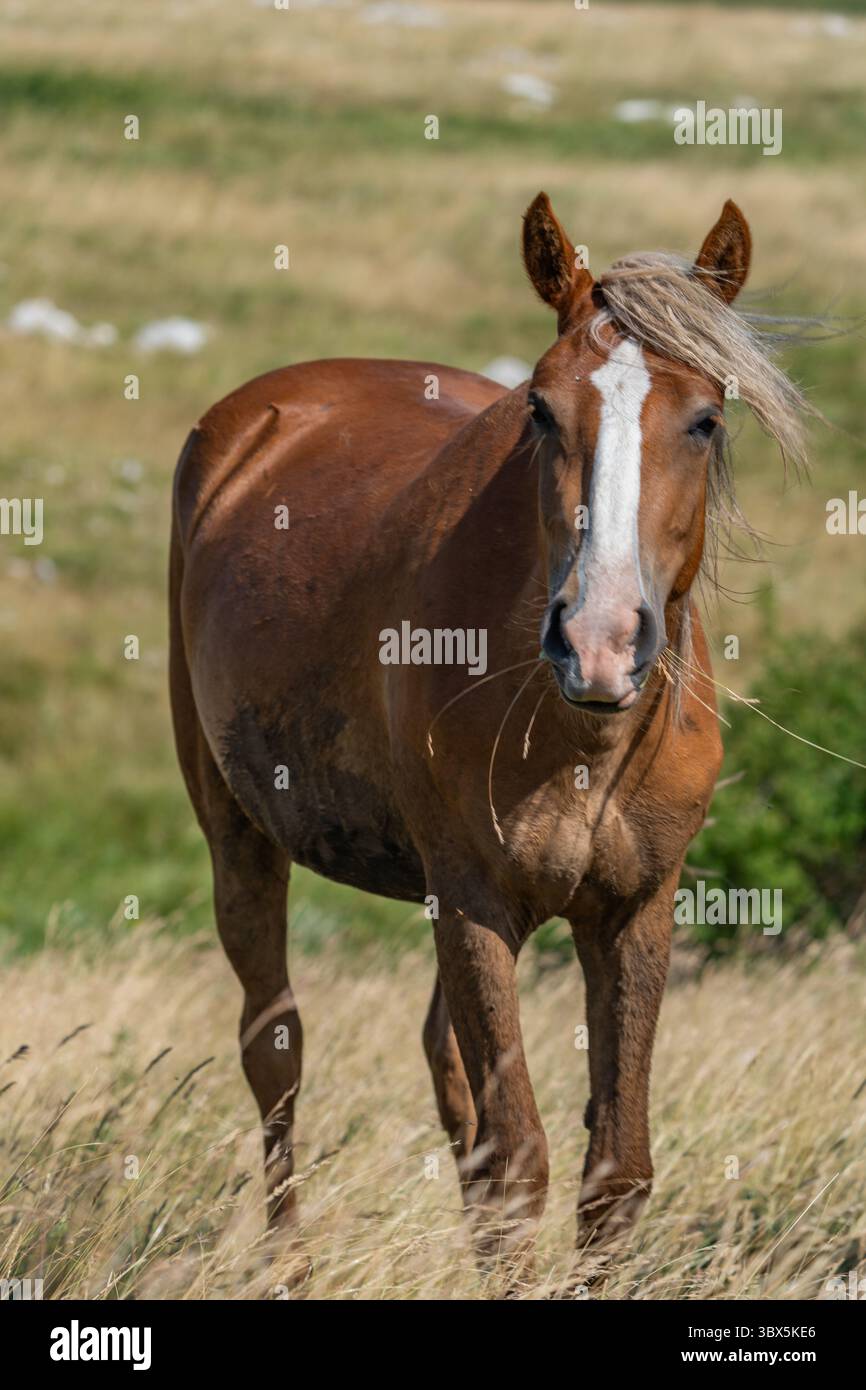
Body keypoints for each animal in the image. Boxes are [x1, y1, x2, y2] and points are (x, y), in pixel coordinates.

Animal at [169, 195, 811, 1270]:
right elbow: (516, 1169)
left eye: (707, 418)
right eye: (541, 410)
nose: (599, 642)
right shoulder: (473, 899)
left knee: (445, 1078)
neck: (577, 736)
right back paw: (289, 1259)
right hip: (239, 835)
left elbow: (613, 1172)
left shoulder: (635, 910)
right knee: (276, 1056)